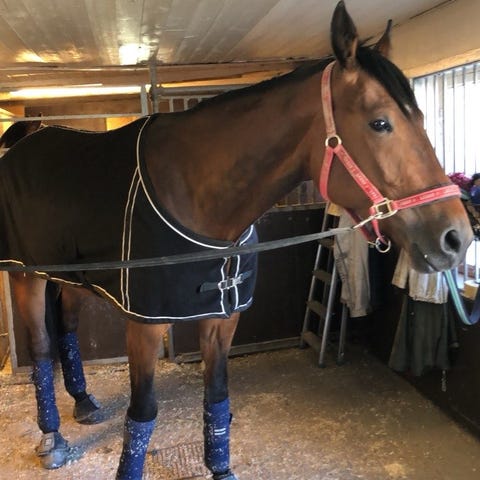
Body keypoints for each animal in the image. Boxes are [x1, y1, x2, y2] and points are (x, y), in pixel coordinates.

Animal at [0, 2, 473, 479]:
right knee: (41, 348)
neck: (196, 192)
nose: (457, 238)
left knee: (68, 329)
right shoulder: (145, 325)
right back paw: (51, 437)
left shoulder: (223, 319)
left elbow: (217, 398)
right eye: (379, 122)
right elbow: (144, 411)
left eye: (421, 118)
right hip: (26, 276)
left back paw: (83, 402)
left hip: (72, 277)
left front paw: (221, 467)